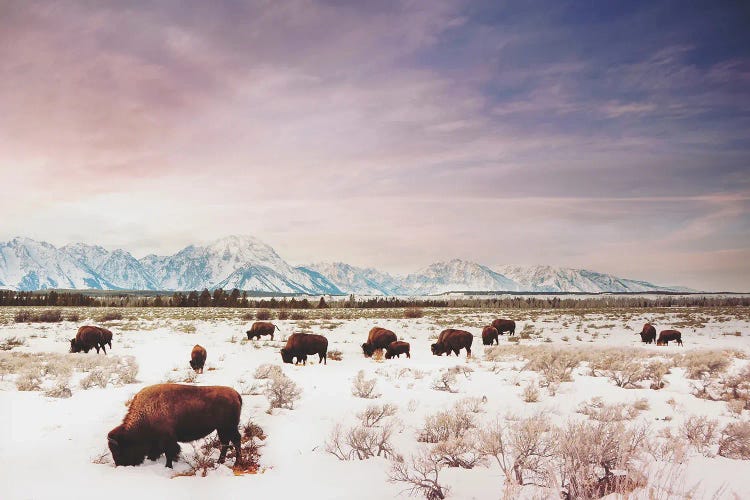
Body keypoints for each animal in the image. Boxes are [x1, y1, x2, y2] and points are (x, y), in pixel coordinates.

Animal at [107, 382, 242, 468]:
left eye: (118, 450)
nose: (120, 465)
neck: (146, 413)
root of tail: (236, 394)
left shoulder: (167, 439)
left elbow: (170, 452)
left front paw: (168, 466)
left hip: (228, 427)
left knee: (235, 440)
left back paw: (237, 463)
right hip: (222, 429)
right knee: (225, 443)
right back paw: (220, 462)